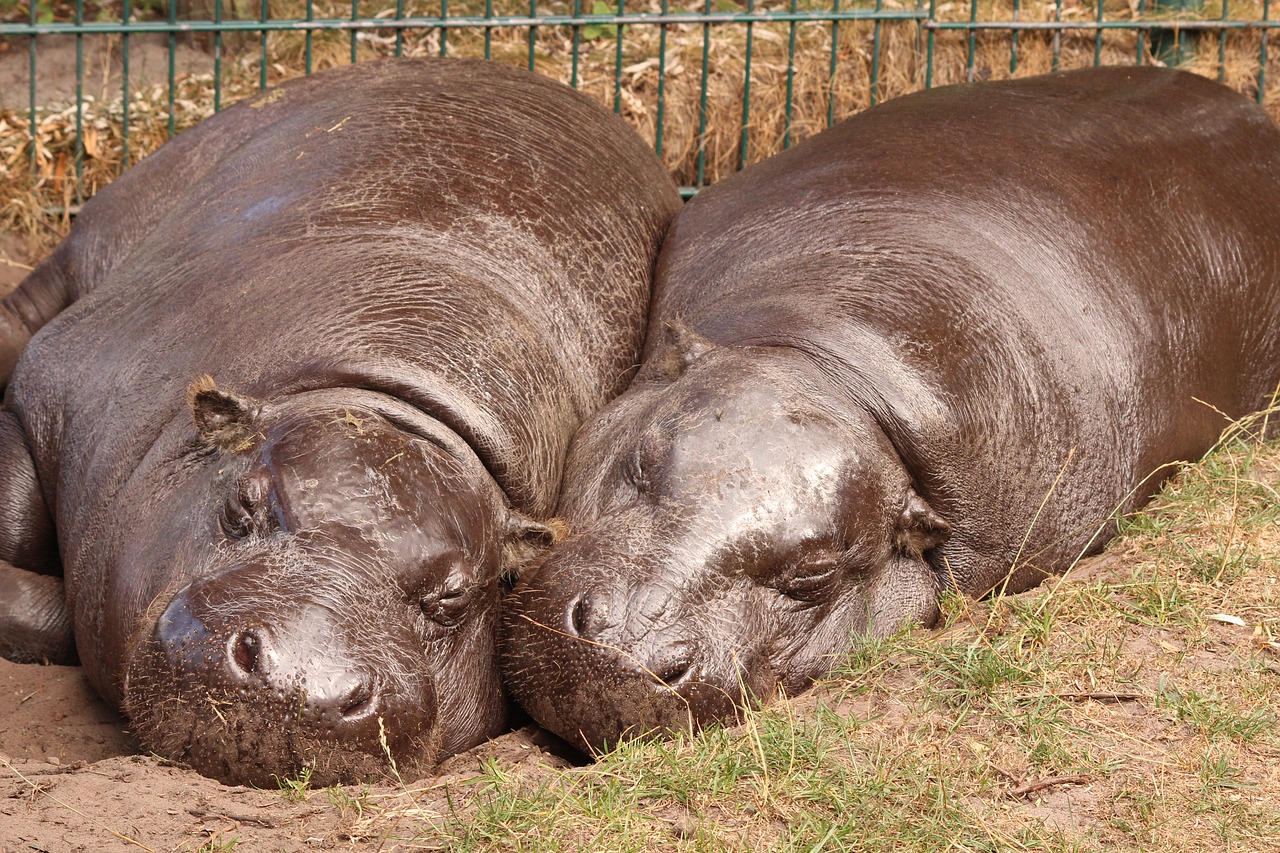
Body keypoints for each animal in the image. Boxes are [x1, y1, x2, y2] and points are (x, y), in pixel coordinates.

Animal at [0, 56, 680, 778]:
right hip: (117, 221)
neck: (394, 405)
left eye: (454, 599)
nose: (297, 680)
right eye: (243, 504)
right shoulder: (45, 401)